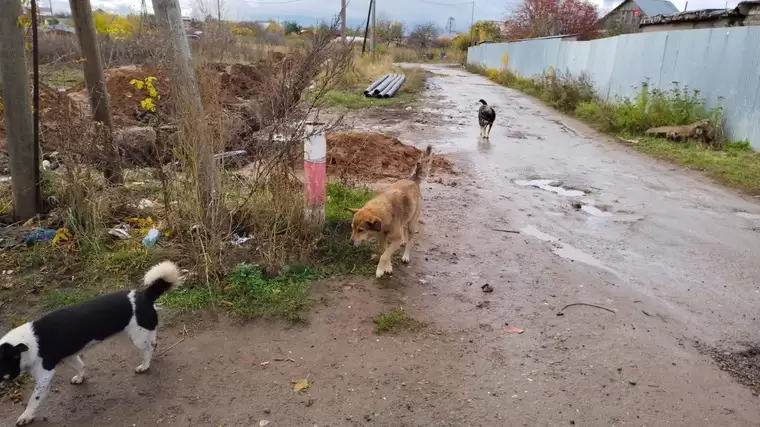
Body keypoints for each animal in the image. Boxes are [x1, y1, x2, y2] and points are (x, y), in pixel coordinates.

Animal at [0, 260, 181, 424]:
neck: (26, 344)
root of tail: (145, 295)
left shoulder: (45, 375)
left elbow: (33, 399)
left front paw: (26, 416)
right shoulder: (70, 355)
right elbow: (80, 366)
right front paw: (80, 378)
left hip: (138, 338)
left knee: (149, 349)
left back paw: (144, 366)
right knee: (154, 341)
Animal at [346, 145, 434, 280]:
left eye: (361, 230)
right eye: (352, 228)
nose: (350, 243)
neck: (386, 214)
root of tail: (412, 180)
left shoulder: (394, 240)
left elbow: (384, 255)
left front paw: (380, 270)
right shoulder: (382, 238)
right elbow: (385, 253)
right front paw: (388, 267)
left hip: (412, 224)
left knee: (410, 241)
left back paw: (406, 255)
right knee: (403, 228)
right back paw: (403, 240)